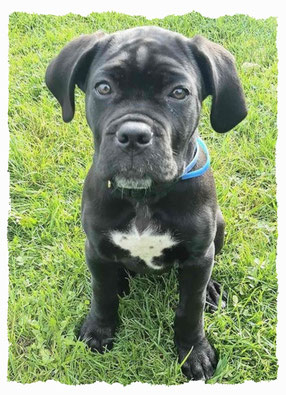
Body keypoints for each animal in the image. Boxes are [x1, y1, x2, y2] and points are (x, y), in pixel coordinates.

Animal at [45, 26, 247, 382]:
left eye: (179, 93)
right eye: (104, 88)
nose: (134, 136)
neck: (143, 198)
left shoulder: (198, 257)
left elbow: (190, 308)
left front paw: (194, 352)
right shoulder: (95, 247)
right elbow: (102, 293)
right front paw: (98, 331)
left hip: (218, 228)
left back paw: (212, 291)